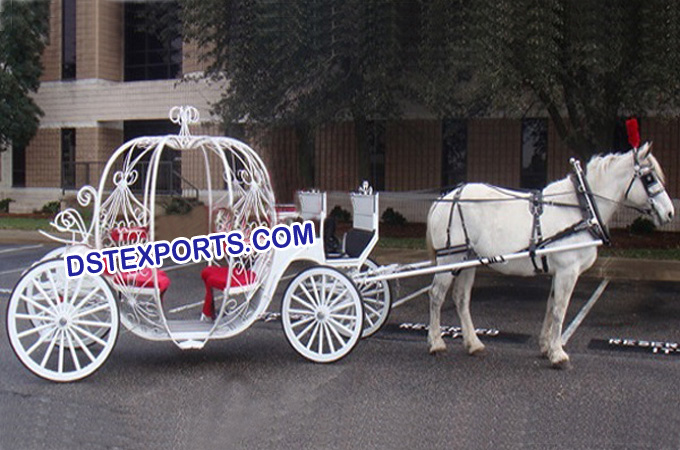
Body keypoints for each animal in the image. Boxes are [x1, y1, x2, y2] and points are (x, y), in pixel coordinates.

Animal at [424, 144, 676, 370]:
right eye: (649, 178)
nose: (670, 213)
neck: (580, 207)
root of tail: (446, 198)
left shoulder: (559, 272)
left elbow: (551, 305)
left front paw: (546, 347)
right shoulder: (568, 270)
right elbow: (560, 309)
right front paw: (558, 354)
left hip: (468, 260)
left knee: (461, 298)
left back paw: (474, 343)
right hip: (449, 259)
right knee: (436, 295)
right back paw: (436, 343)